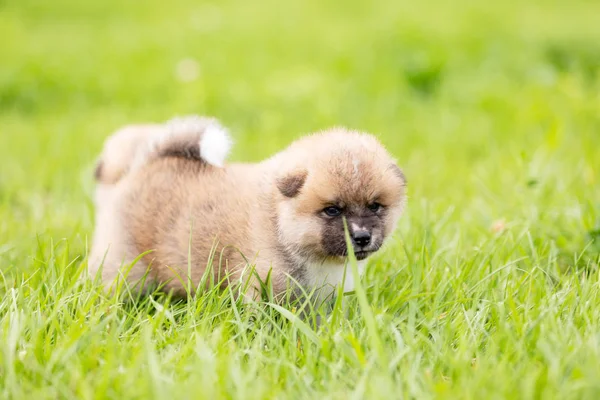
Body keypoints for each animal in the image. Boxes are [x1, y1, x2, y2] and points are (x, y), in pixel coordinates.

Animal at [89, 115, 408, 304]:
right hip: (125, 261)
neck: (280, 223)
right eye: (332, 210)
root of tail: (150, 162)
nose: (362, 236)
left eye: (375, 206)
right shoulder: (260, 282)